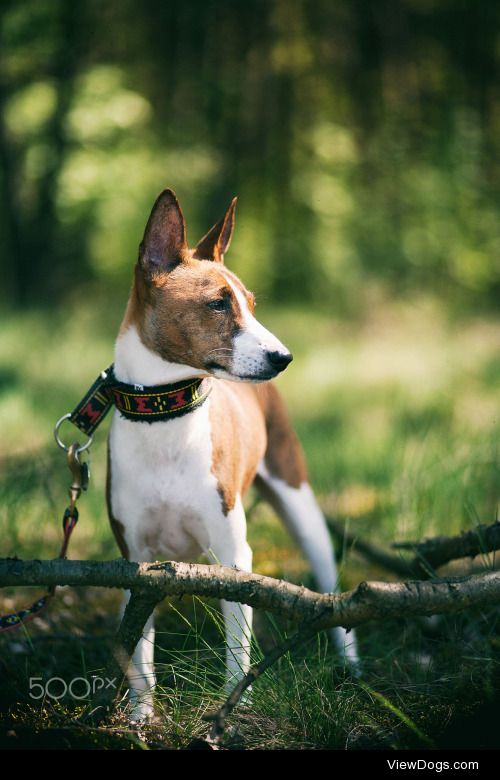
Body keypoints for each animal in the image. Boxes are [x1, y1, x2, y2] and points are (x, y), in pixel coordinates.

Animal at [107, 187, 360, 720]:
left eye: (251, 304)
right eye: (217, 304)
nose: (283, 357)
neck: (166, 419)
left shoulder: (233, 557)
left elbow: (237, 651)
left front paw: (232, 711)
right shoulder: (136, 562)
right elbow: (139, 653)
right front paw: (140, 718)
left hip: (299, 502)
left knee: (333, 597)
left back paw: (352, 666)